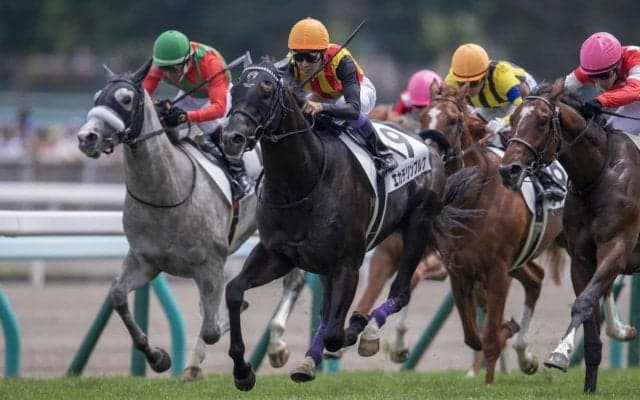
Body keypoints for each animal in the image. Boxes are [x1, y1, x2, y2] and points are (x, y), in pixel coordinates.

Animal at [75, 60, 305, 380]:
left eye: (126, 99)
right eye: (98, 96)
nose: (87, 137)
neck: (166, 194)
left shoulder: (211, 265)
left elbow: (212, 328)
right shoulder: (144, 260)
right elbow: (118, 297)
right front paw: (158, 358)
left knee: (294, 281)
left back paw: (276, 348)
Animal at [219, 59, 481, 391]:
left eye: (266, 92)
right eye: (235, 90)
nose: (232, 138)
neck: (303, 180)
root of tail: (430, 147)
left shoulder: (348, 264)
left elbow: (335, 331)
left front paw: (354, 331)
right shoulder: (276, 254)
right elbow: (234, 291)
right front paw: (242, 371)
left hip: (418, 226)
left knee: (400, 292)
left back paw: (367, 333)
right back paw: (308, 362)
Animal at [417, 82, 569, 384]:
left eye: (453, 121)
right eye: (423, 117)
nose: (430, 158)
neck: (474, 198)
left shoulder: (497, 270)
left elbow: (488, 338)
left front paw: (488, 383)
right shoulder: (459, 270)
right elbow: (472, 336)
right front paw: (507, 331)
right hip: (518, 260)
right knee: (536, 279)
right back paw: (525, 356)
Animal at [499, 80, 639, 393]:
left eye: (541, 121)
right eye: (513, 120)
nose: (508, 170)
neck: (597, 174)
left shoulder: (616, 248)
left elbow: (584, 302)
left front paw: (560, 354)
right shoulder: (582, 258)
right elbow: (589, 317)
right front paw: (589, 387)